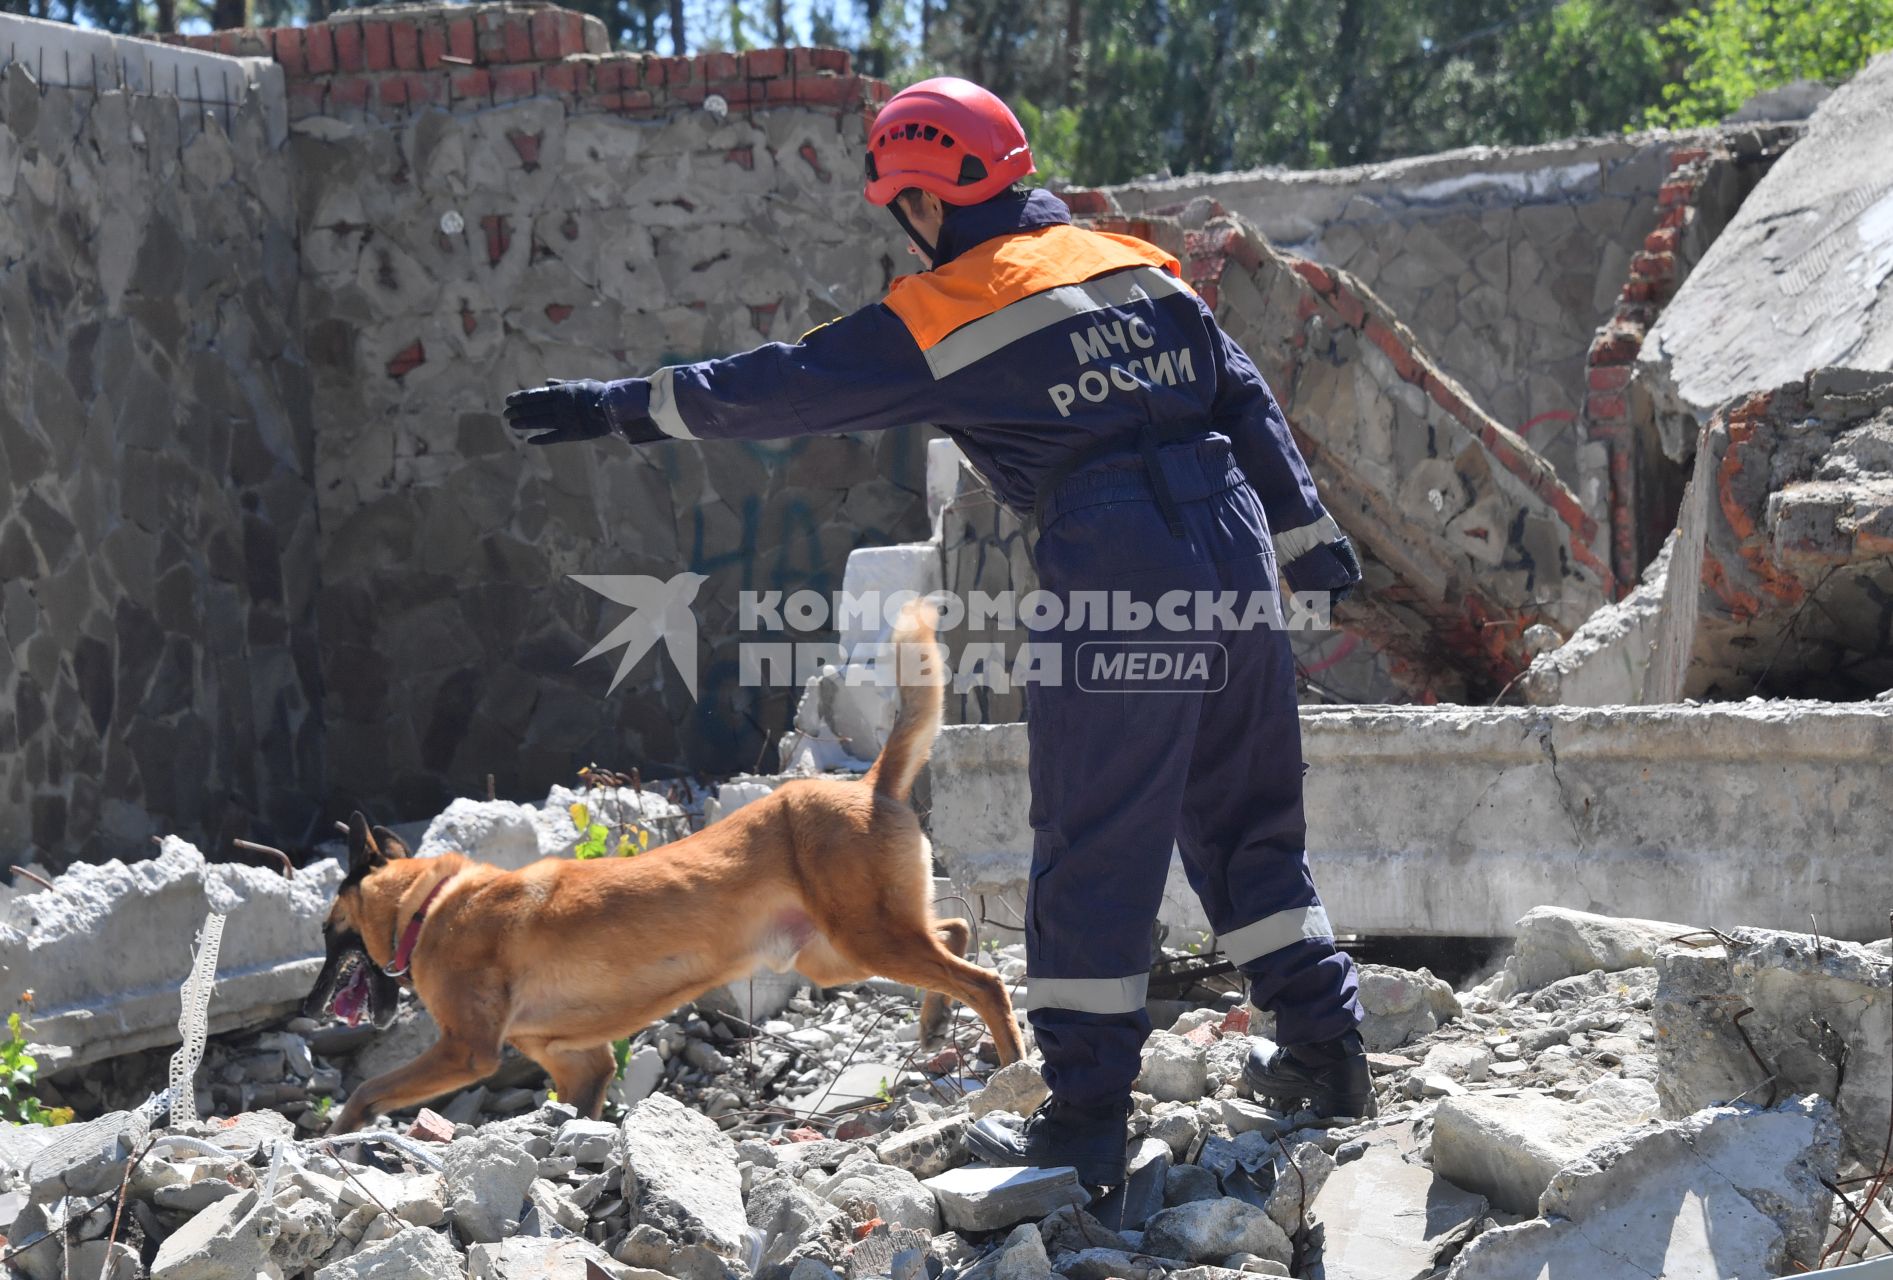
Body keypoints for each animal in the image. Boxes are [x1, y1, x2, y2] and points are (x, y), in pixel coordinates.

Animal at [306, 602, 1022, 1128]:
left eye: (327, 933)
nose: (311, 1006)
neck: (428, 903)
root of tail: (870, 784)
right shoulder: (581, 1065)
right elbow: (580, 1104)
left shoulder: (465, 1050)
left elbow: (368, 1088)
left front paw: (342, 1133)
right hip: (839, 953)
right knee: (955, 935)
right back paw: (934, 1022)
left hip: (865, 938)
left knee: (985, 981)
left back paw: (1013, 1067)